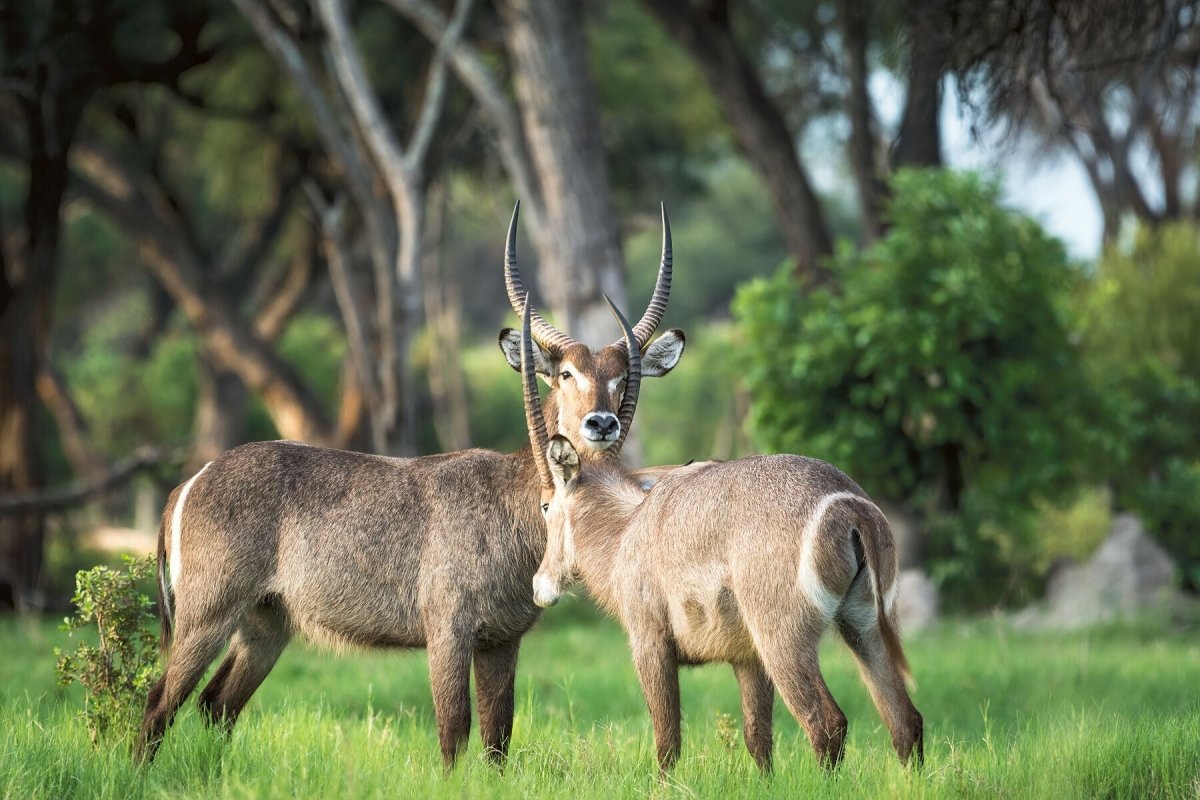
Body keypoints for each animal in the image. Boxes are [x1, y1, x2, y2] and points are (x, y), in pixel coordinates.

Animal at [133, 206, 686, 767]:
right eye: (568, 373)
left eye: (623, 376)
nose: (601, 423)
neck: (516, 499)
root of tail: (188, 483)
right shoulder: (447, 631)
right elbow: (453, 731)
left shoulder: (502, 640)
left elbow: (498, 739)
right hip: (208, 613)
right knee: (161, 701)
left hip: (265, 624)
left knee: (215, 704)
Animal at [520, 297, 921, 772]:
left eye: (546, 505)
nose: (540, 586)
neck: (628, 527)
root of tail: (849, 505)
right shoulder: (746, 659)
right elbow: (757, 739)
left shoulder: (649, 642)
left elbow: (668, 741)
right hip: (864, 626)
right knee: (905, 720)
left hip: (785, 640)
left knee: (826, 722)